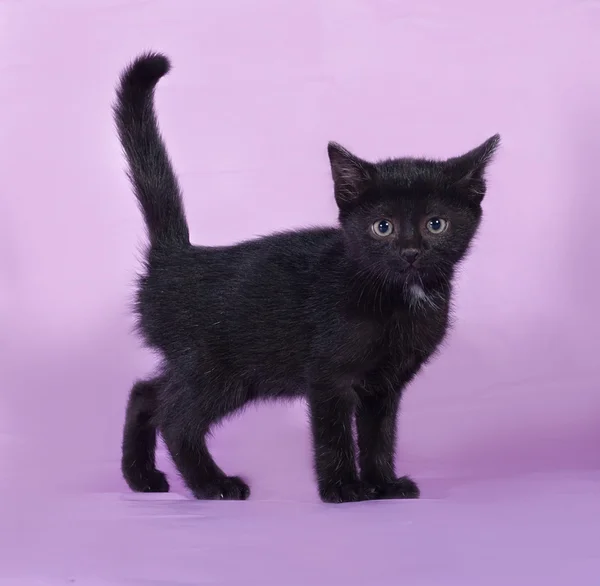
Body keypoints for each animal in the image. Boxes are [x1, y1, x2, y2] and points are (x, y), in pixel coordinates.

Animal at [115, 52, 500, 502]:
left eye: (435, 224)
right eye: (382, 227)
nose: (410, 252)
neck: (398, 295)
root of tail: (175, 257)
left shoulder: (385, 385)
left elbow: (379, 434)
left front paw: (383, 484)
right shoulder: (329, 375)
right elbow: (333, 433)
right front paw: (342, 488)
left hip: (204, 364)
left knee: (147, 394)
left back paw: (142, 477)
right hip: (219, 367)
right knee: (175, 417)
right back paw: (213, 484)